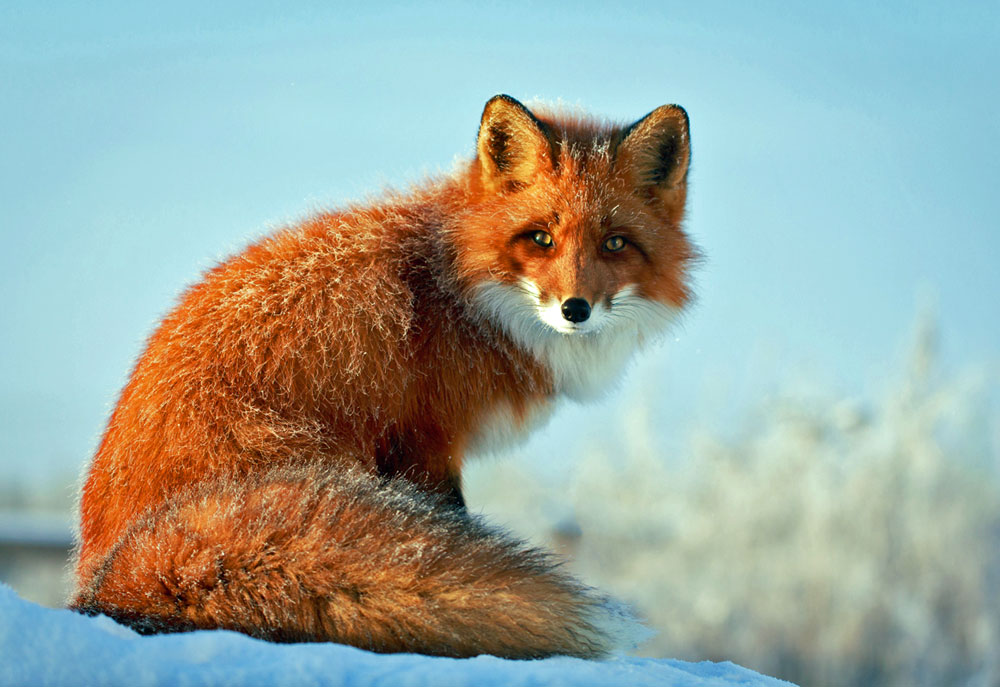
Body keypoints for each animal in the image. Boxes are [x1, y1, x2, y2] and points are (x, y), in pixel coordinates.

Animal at [70, 94, 696, 660]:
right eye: (541, 237)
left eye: (615, 243)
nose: (575, 309)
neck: (459, 293)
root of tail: (104, 581)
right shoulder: (425, 441)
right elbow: (451, 521)